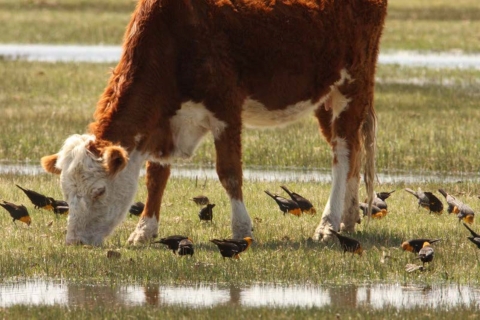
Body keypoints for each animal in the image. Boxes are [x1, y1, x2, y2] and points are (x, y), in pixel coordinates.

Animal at [40, 0, 386, 245]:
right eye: (66, 192)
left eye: (99, 191)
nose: (74, 242)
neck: (173, 38)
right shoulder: (165, 122)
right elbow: (156, 176)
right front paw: (144, 230)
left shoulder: (226, 109)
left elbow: (229, 173)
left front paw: (241, 227)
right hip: (325, 97)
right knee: (352, 151)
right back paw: (347, 217)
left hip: (351, 84)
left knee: (343, 154)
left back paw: (328, 224)